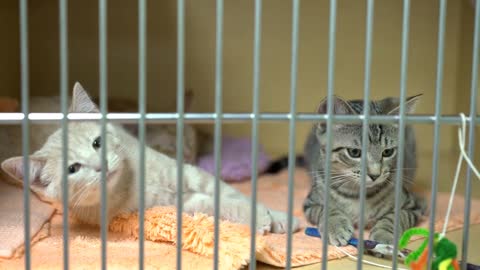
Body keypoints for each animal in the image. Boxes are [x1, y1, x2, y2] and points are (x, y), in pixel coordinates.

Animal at [1, 83, 298, 234]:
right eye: (73, 168)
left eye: (97, 143)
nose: (101, 165)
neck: (132, 180)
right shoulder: (170, 204)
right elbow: (214, 205)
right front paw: (259, 218)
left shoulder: (189, 172)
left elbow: (229, 193)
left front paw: (279, 217)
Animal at [304, 94, 428, 246]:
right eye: (354, 152)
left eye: (388, 152)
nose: (375, 175)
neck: (357, 194)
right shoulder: (310, 203)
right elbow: (325, 209)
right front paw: (335, 226)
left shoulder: (411, 206)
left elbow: (396, 216)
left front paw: (384, 234)